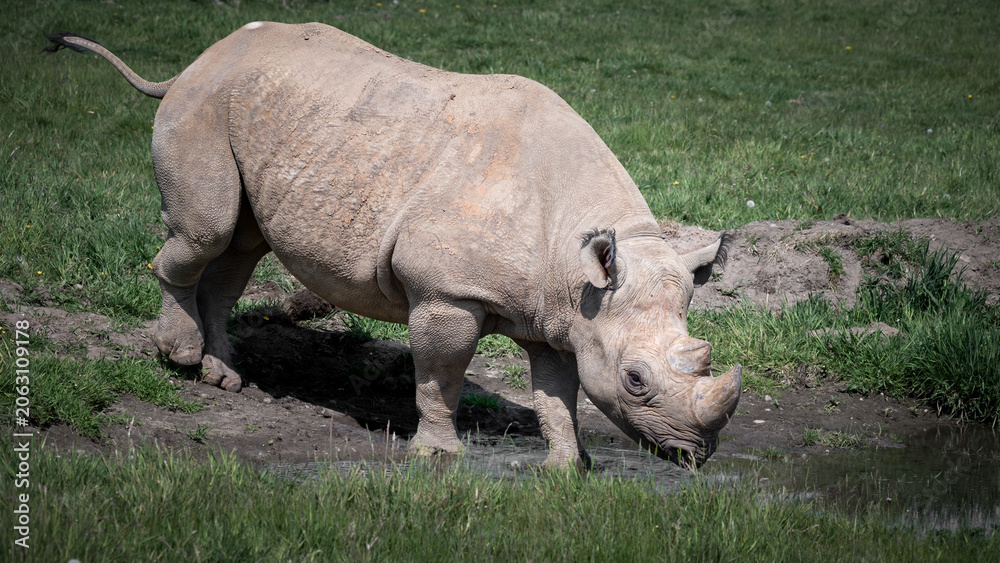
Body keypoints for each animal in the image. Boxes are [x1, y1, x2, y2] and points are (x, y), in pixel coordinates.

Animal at [45, 22, 741, 468]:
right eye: (635, 380)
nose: (694, 456)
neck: (578, 267)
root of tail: (195, 63)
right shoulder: (447, 292)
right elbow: (440, 374)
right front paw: (436, 456)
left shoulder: (560, 312)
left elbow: (557, 394)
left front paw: (570, 470)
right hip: (203, 108)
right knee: (207, 229)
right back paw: (180, 357)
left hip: (252, 110)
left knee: (239, 249)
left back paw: (224, 378)